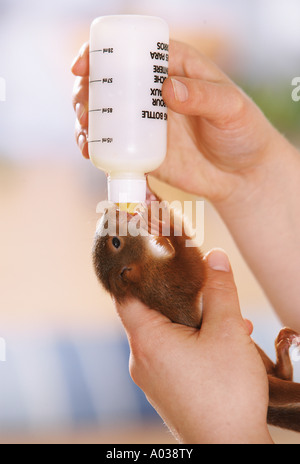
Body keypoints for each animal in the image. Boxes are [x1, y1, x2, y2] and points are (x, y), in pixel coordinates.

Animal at [92, 180, 300, 432]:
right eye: (115, 242)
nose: (110, 210)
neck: (146, 272)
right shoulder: (170, 284)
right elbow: (193, 266)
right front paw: (165, 228)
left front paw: (150, 199)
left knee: (284, 374)